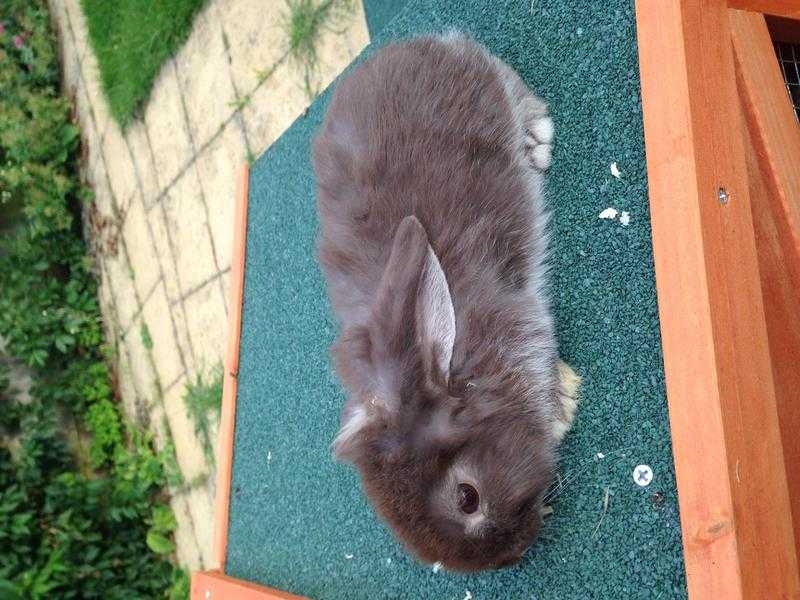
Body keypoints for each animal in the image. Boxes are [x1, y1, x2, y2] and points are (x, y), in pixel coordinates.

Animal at [312, 31, 576, 572]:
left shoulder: (520, 322)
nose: (509, 557)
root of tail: (404, 47)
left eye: (466, 498)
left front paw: (564, 411)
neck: (455, 361)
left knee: (519, 94)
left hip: (495, 86)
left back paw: (537, 142)